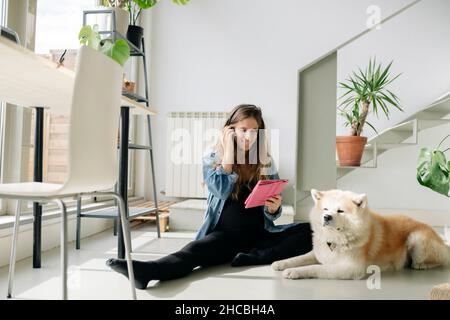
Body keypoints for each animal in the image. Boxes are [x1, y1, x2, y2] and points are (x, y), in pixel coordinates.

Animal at [270, 189, 450, 278]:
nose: (327, 217)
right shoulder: (319, 252)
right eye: (326, 208)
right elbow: (298, 258)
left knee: (439, 261)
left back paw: (421, 265)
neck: (336, 240)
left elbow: (315, 267)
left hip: (416, 239)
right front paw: (281, 263)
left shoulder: (350, 268)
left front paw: (295, 272)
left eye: (340, 211)